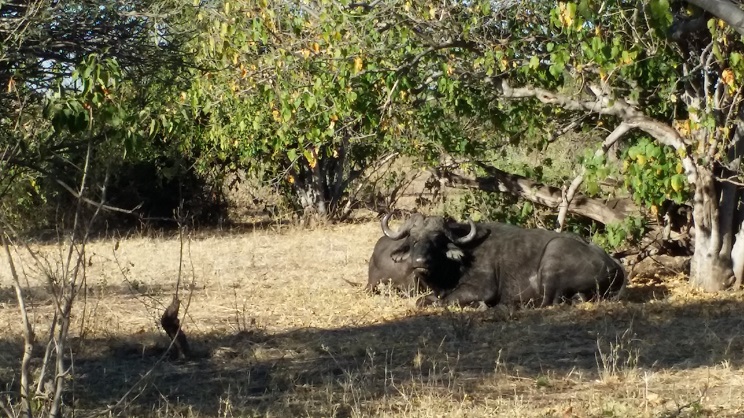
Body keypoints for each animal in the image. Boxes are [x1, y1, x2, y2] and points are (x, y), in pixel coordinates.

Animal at [380, 216, 624, 306]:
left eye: (437, 240)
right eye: (413, 239)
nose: (419, 261)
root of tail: (614, 266)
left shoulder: (482, 289)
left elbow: (447, 300)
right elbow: (423, 300)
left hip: (552, 257)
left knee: (548, 301)